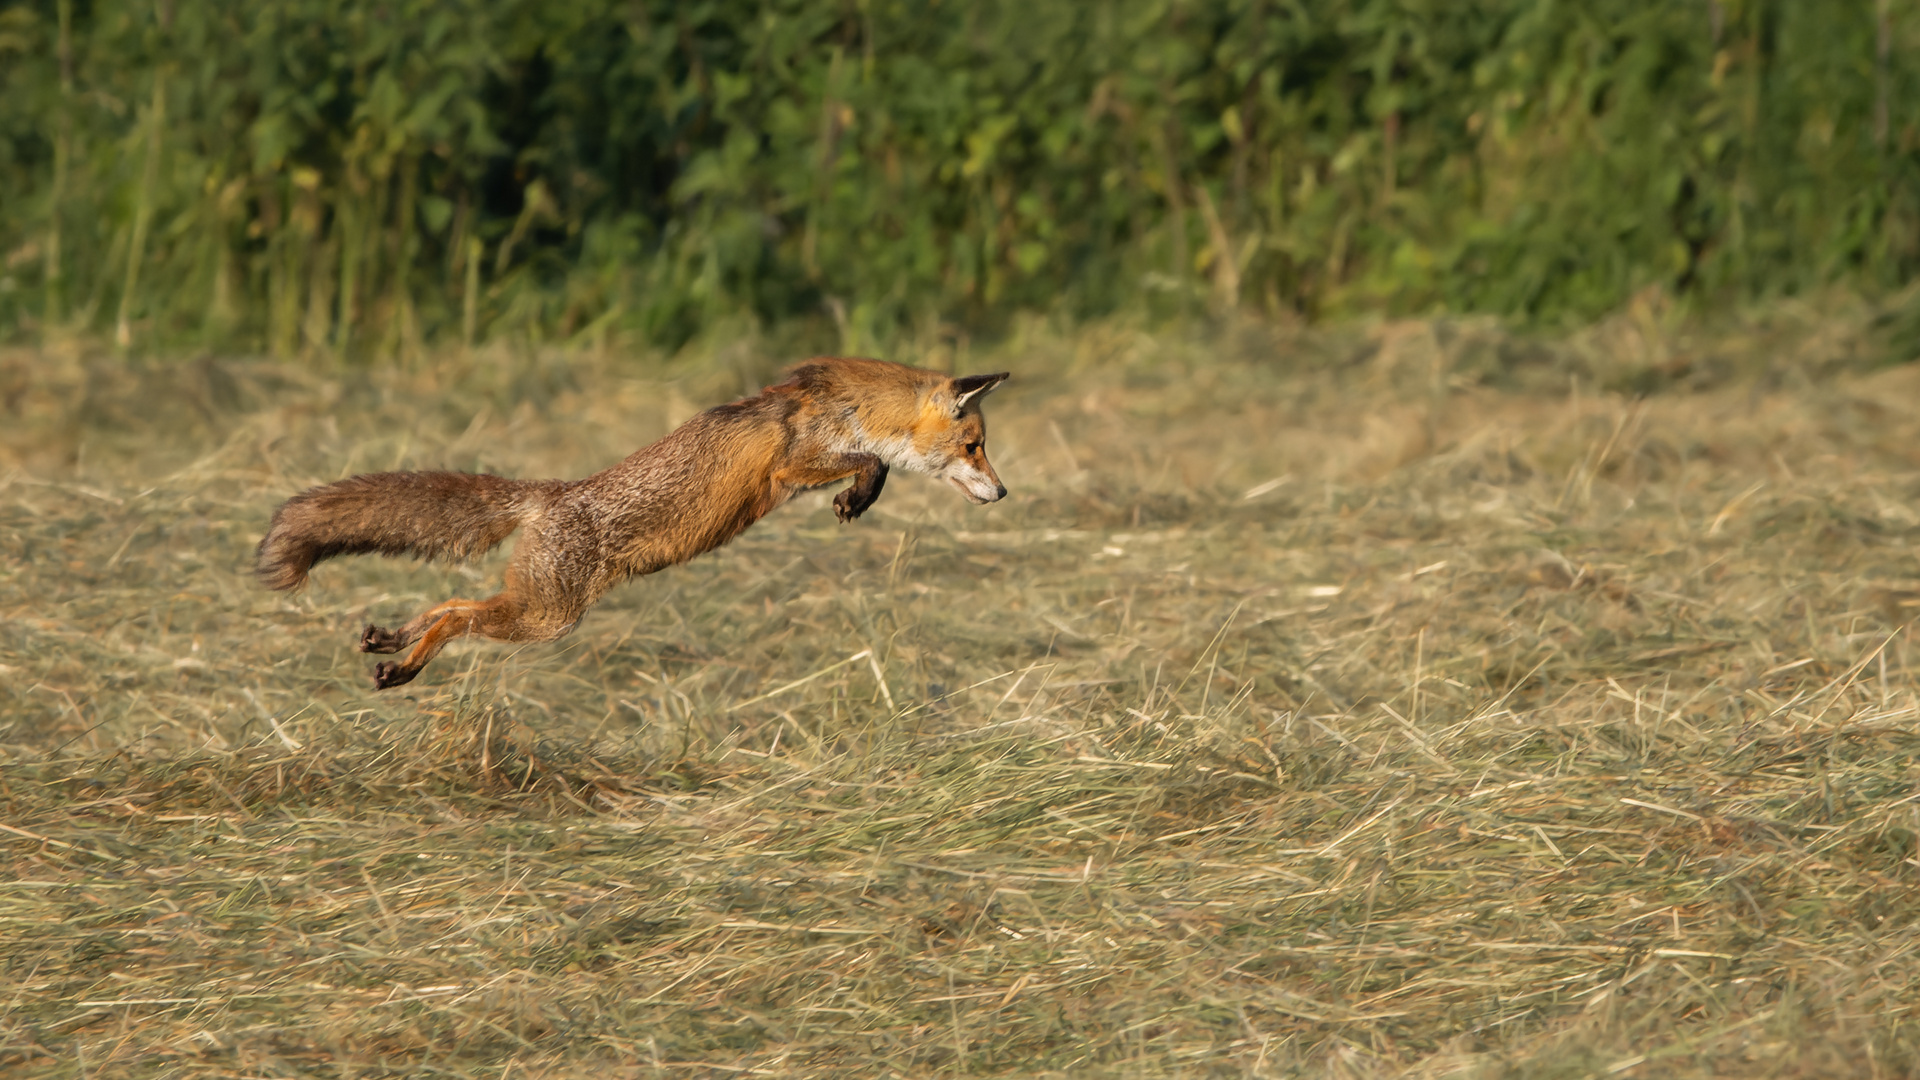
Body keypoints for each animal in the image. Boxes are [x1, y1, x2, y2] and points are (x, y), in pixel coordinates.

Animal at [261, 357, 1013, 684]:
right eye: (975, 446)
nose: (1004, 492)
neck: (850, 408)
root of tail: (553, 493)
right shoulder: (789, 469)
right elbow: (871, 463)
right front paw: (859, 497)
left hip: (534, 607)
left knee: (450, 602)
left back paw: (390, 643)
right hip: (546, 617)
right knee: (457, 617)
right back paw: (404, 666)